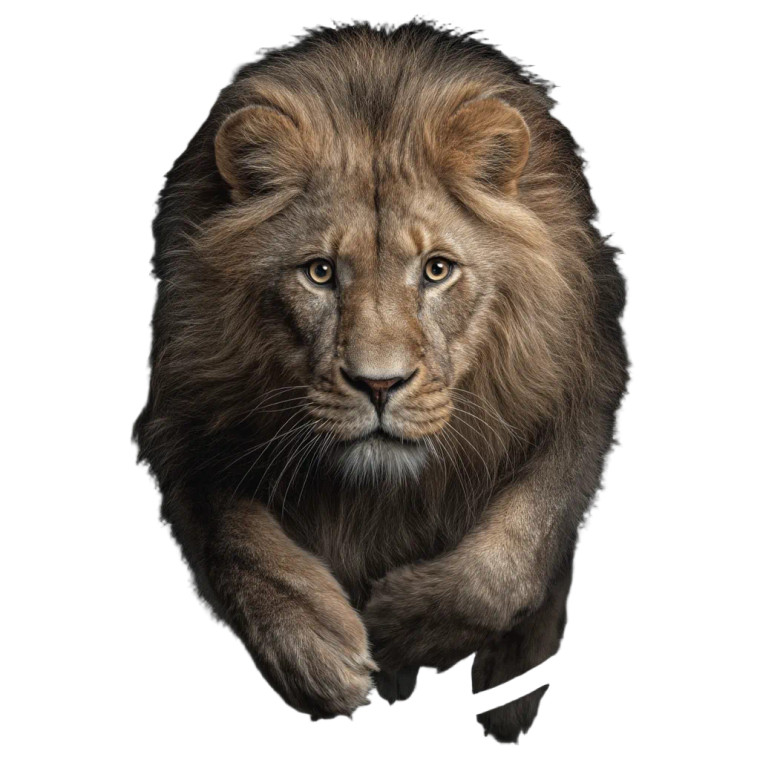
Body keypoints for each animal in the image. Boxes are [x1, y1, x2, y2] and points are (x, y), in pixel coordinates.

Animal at [134, 21, 628, 742]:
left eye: (437, 269)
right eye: (319, 272)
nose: (378, 386)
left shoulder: (581, 392)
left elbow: (515, 556)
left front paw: (399, 630)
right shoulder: (183, 419)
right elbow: (240, 547)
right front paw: (315, 652)